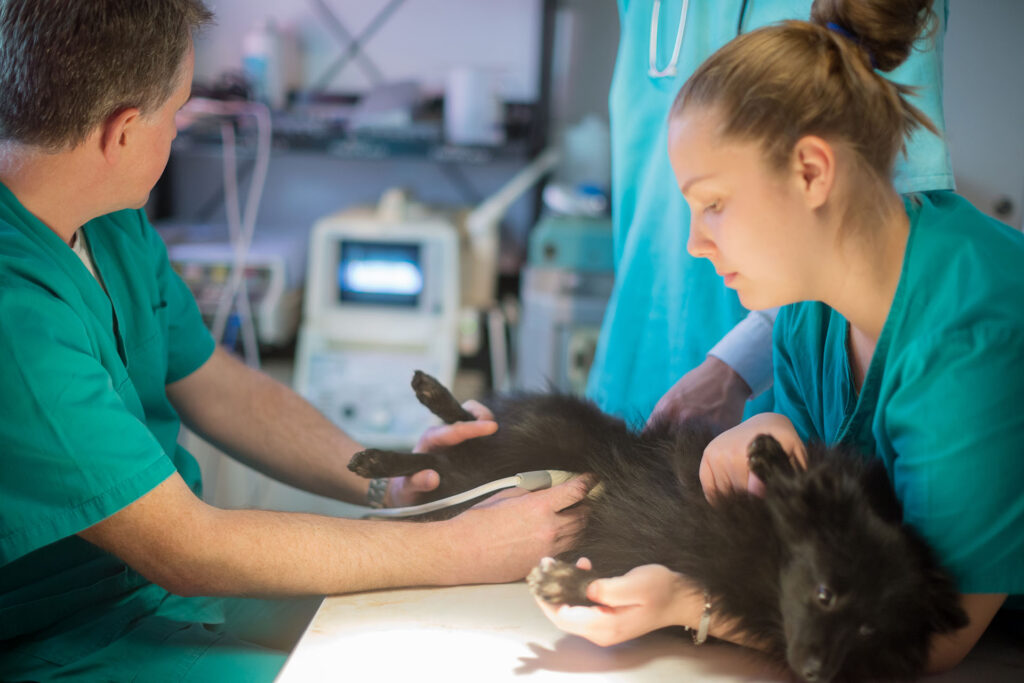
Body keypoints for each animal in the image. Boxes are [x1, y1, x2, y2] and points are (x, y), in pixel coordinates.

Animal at [350, 374, 966, 683]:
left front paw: (565, 584)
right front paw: (771, 459)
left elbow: (605, 584)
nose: (816, 672)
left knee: (446, 466)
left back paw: (387, 461)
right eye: (825, 594)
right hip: (549, 429)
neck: (765, 560)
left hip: (485, 473)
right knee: (474, 427)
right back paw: (416, 416)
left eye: (870, 630)